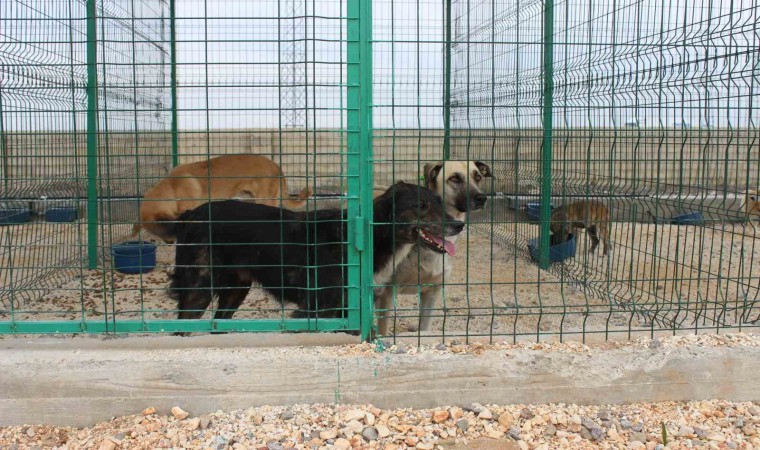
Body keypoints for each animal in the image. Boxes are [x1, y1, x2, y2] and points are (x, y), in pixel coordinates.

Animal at [169, 182, 464, 335]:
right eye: (420, 206)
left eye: (440, 203)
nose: (458, 226)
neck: (369, 235)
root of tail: (191, 215)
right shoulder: (313, 310)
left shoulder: (346, 311)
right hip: (198, 288)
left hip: (235, 291)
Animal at [373, 160, 492, 336]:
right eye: (454, 178)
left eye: (478, 177)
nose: (482, 198)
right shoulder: (386, 295)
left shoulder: (432, 292)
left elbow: (424, 328)